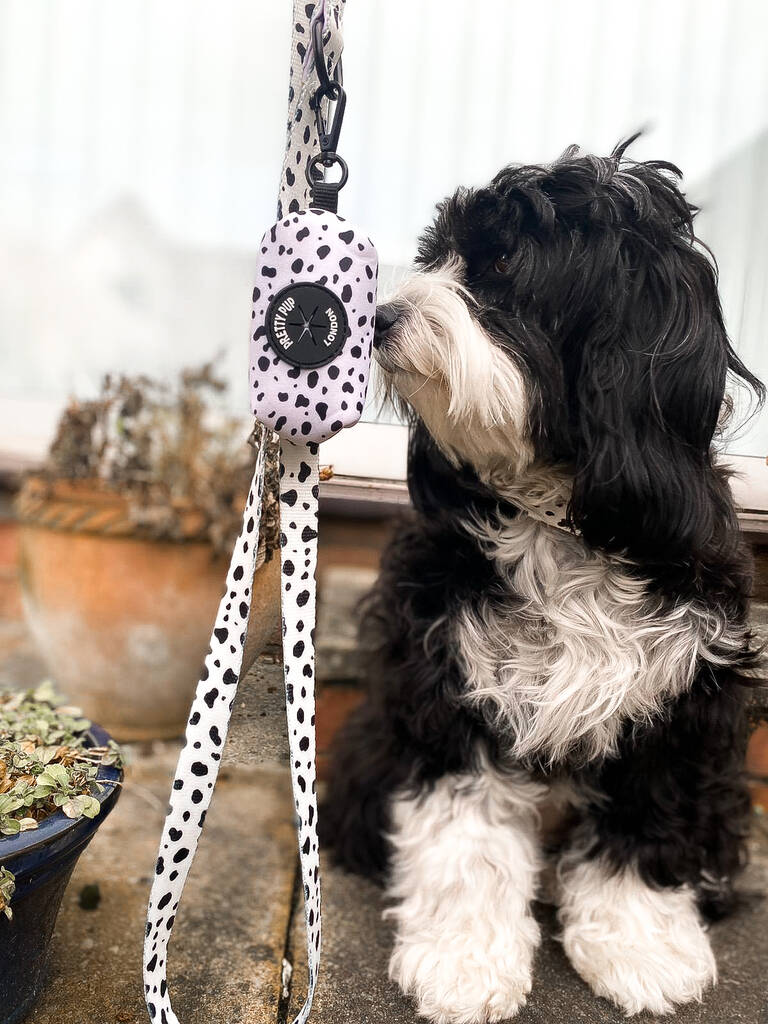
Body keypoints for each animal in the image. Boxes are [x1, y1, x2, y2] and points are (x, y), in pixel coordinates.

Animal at [321, 138, 765, 1024]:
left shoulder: (680, 704)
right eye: (436, 255)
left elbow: (646, 824)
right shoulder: (449, 687)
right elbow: (465, 838)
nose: (379, 318)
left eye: (502, 265)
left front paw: (640, 947)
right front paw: (463, 963)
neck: (561, 516)